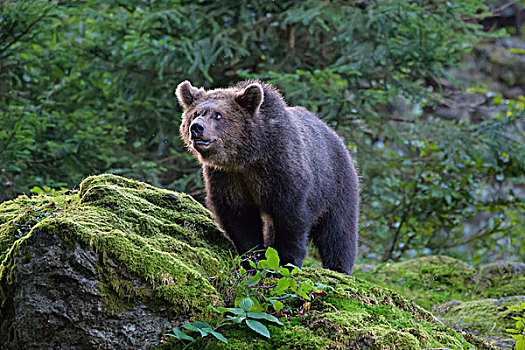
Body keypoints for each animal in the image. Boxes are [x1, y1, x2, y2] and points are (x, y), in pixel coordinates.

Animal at [176, 80, 360, 274]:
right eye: (195, 114)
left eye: (218, 115)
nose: (197, 127)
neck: (249, 157)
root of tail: (339, 139)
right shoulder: (227, 177)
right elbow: (240, 218)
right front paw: (254, 259)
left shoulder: (282, 171)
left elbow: (291, 219)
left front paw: (285, 263)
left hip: (336, 185)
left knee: (338, 231)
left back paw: (339, 268)